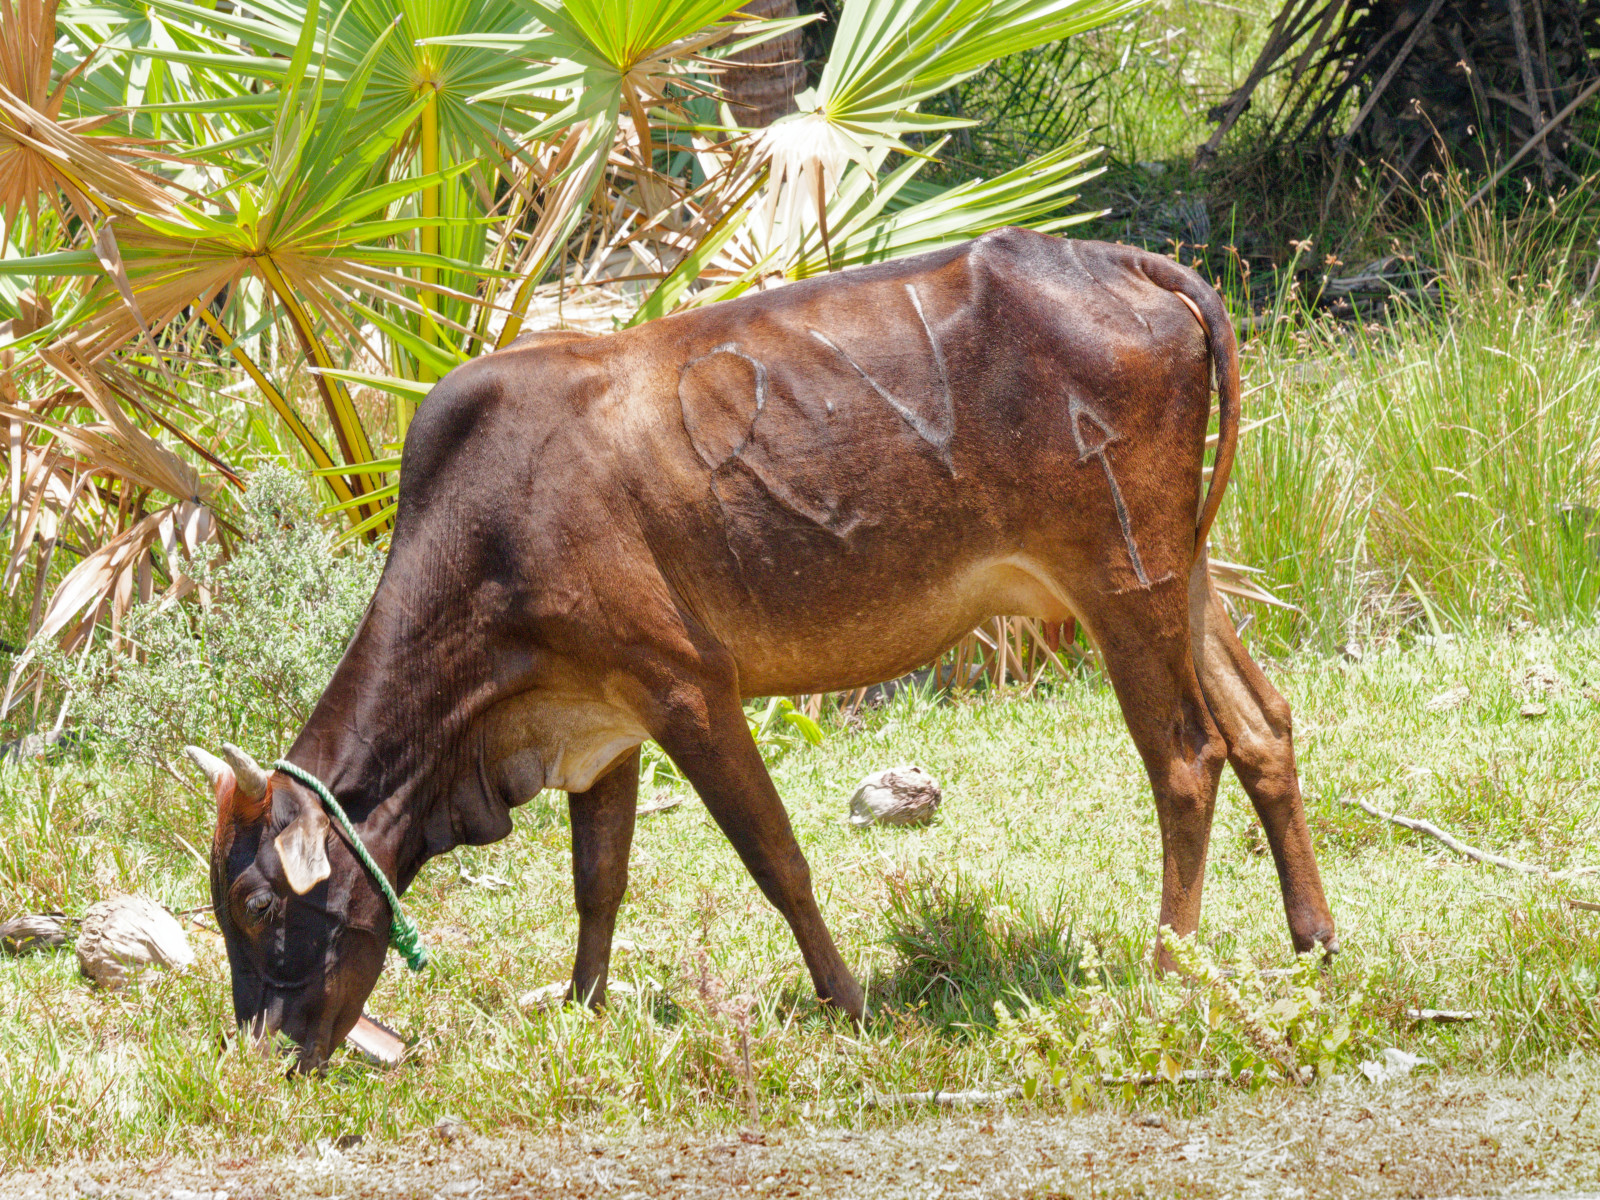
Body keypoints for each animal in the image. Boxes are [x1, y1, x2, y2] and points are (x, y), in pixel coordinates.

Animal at [189, 229, 1338, 1070]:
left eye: (256, 904)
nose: (262, 1057)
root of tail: (1121, 262)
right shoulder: (600, 721)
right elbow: (598, 881)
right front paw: (582, 1008)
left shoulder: (687, 686)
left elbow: (776, 859)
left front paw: (850, 1002)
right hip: (1177, 571)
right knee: (1263, 727)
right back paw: (1313, 938)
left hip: (1119, 577)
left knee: (1186, 759)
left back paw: (1167, 970)